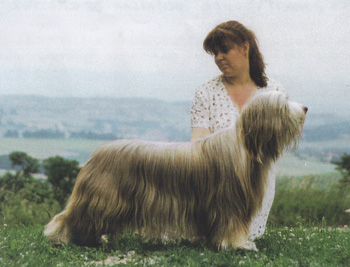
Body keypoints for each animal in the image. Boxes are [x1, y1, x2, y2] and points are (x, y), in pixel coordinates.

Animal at [44, 91, 306, 251]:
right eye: (283, 105)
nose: (304, 107)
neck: (245, 144)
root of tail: (95, 153)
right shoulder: (229, 204)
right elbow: (230, 226)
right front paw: (238, 245)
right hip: (101, 198)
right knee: (69, 217)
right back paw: (60, 236)